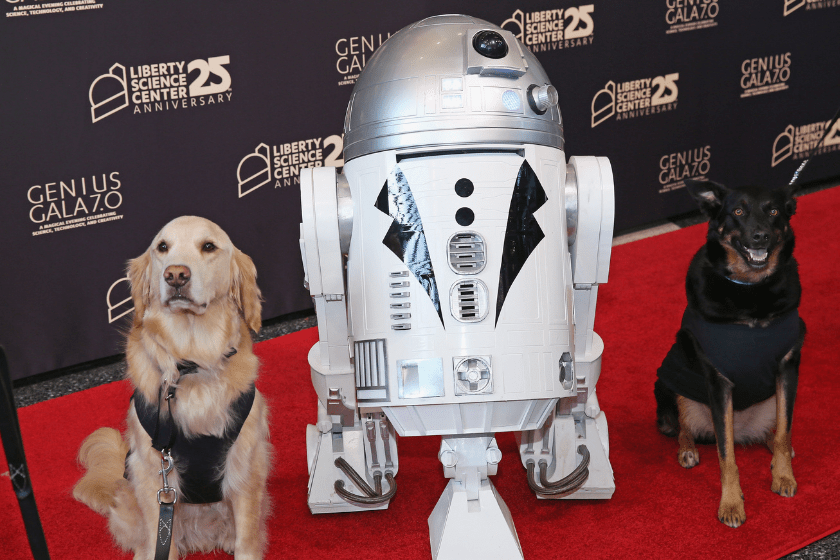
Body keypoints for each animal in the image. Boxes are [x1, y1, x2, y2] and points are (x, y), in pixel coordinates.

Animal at [652, 180, 804, 528]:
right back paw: (688, 450)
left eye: (773, 211)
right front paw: (732, 504)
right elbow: (726, 455)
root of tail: (745, 429)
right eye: (738, 211)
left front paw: (783, 476)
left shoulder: (787, 368)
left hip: (769, 403)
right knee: (684, 428)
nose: (761, 236)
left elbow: (786, 430)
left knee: (775, 431)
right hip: (674, 386)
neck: (752, 290)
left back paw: (777, 447)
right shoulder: (718, 382)